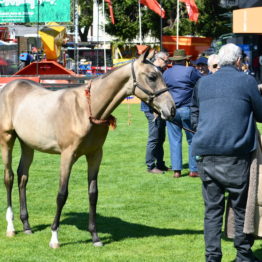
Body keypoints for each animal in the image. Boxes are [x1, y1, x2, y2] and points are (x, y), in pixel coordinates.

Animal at [0, 48, 176, 248]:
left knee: (23, 177)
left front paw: (95, 236)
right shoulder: (67, 155)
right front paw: (54, 237)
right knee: (9, 177)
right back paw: (11, 226)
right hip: (7, 139)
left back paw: (26, 225)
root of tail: (10, 86)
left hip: (27, 144)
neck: (86, 109)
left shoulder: (95, 155)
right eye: (152, 76)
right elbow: (62, 194)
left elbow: (93, 194)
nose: (171, 109)